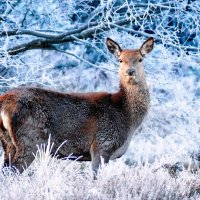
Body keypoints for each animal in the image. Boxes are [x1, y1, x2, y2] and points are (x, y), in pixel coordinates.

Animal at [0, 36, 154, 177]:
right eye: (120, 60)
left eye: (140, 59)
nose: (130, 72)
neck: (126, 116)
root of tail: (3, 103)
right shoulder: (102, 144)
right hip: (29, 140)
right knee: (13, 172)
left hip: (8, 142)